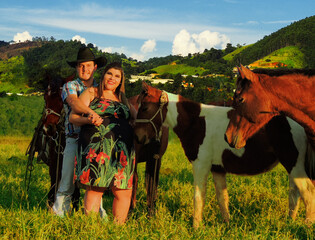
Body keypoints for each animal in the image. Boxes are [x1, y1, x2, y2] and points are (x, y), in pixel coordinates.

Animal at [134, 81, 315, 228]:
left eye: (144, 108)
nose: (138, 137)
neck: (196, 121)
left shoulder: (201, 165)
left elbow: (199, 196)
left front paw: (196, 227)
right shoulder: (218, 169)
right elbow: (222, 198)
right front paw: (227, 224)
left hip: (293, 164)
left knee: (307, 192)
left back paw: (306, 226)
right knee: (294, 194)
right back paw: (290, 222)